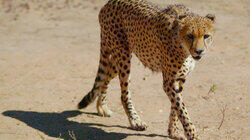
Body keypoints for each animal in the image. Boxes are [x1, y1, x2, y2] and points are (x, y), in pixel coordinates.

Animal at [77, 0, 215, 139]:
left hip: (119, 57)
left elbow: (176, 107)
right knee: (124, 94)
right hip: (123, 55)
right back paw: (135, 121)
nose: (199, 51)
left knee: (106, 74)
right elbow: (181, 108)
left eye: (206, 36)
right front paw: (192, 134)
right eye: (190, 36)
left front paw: (173, 131)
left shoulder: (179, 78)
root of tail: (108, 3)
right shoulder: (169, 81)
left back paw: (102, 106)